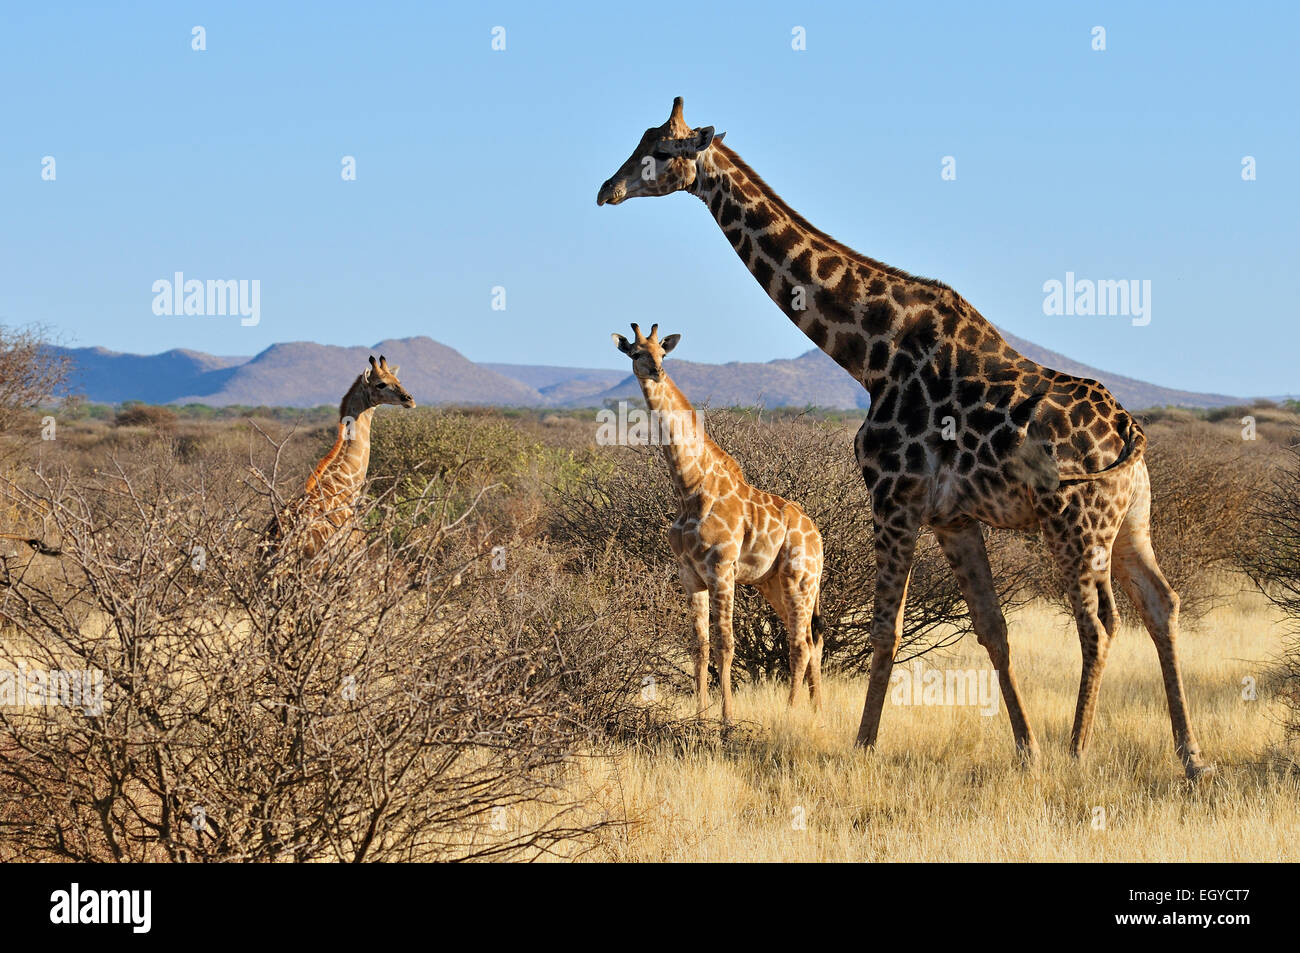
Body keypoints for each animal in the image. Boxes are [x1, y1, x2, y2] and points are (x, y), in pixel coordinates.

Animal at [265, 355, 415, 562]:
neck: (344, 482)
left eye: (397, 380)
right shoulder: (355, 554)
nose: (409, 400)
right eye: (381, 384)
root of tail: (279, 543)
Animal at [612, 322, 825, 721]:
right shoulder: (689, 572)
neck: (690, 487)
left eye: (663, 353)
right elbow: (699, 645)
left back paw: (791, 710)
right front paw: (699, 715)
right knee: (811, 638)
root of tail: (818, 536)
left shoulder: (721, 567)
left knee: (800, 642)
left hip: (799, 578)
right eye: (636, 353)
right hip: (773, 583)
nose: (656, 372)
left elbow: (726, 643)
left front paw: (726, 718)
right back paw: (817, 709)